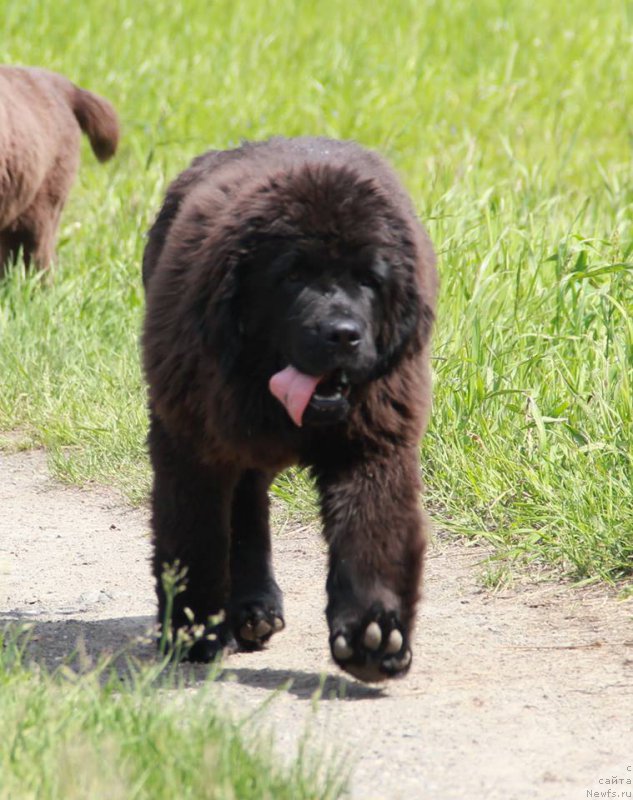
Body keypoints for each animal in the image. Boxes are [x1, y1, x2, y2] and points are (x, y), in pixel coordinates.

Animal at [143, 138, 436, 680]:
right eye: (294, 275)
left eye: (370, 279)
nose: (342, 334)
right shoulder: (192, 444)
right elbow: (194, 536)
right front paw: (192, 631)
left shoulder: (374, 443)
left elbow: (373, 530)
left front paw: (374, 636)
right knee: (244, 511)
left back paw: (255, 610)